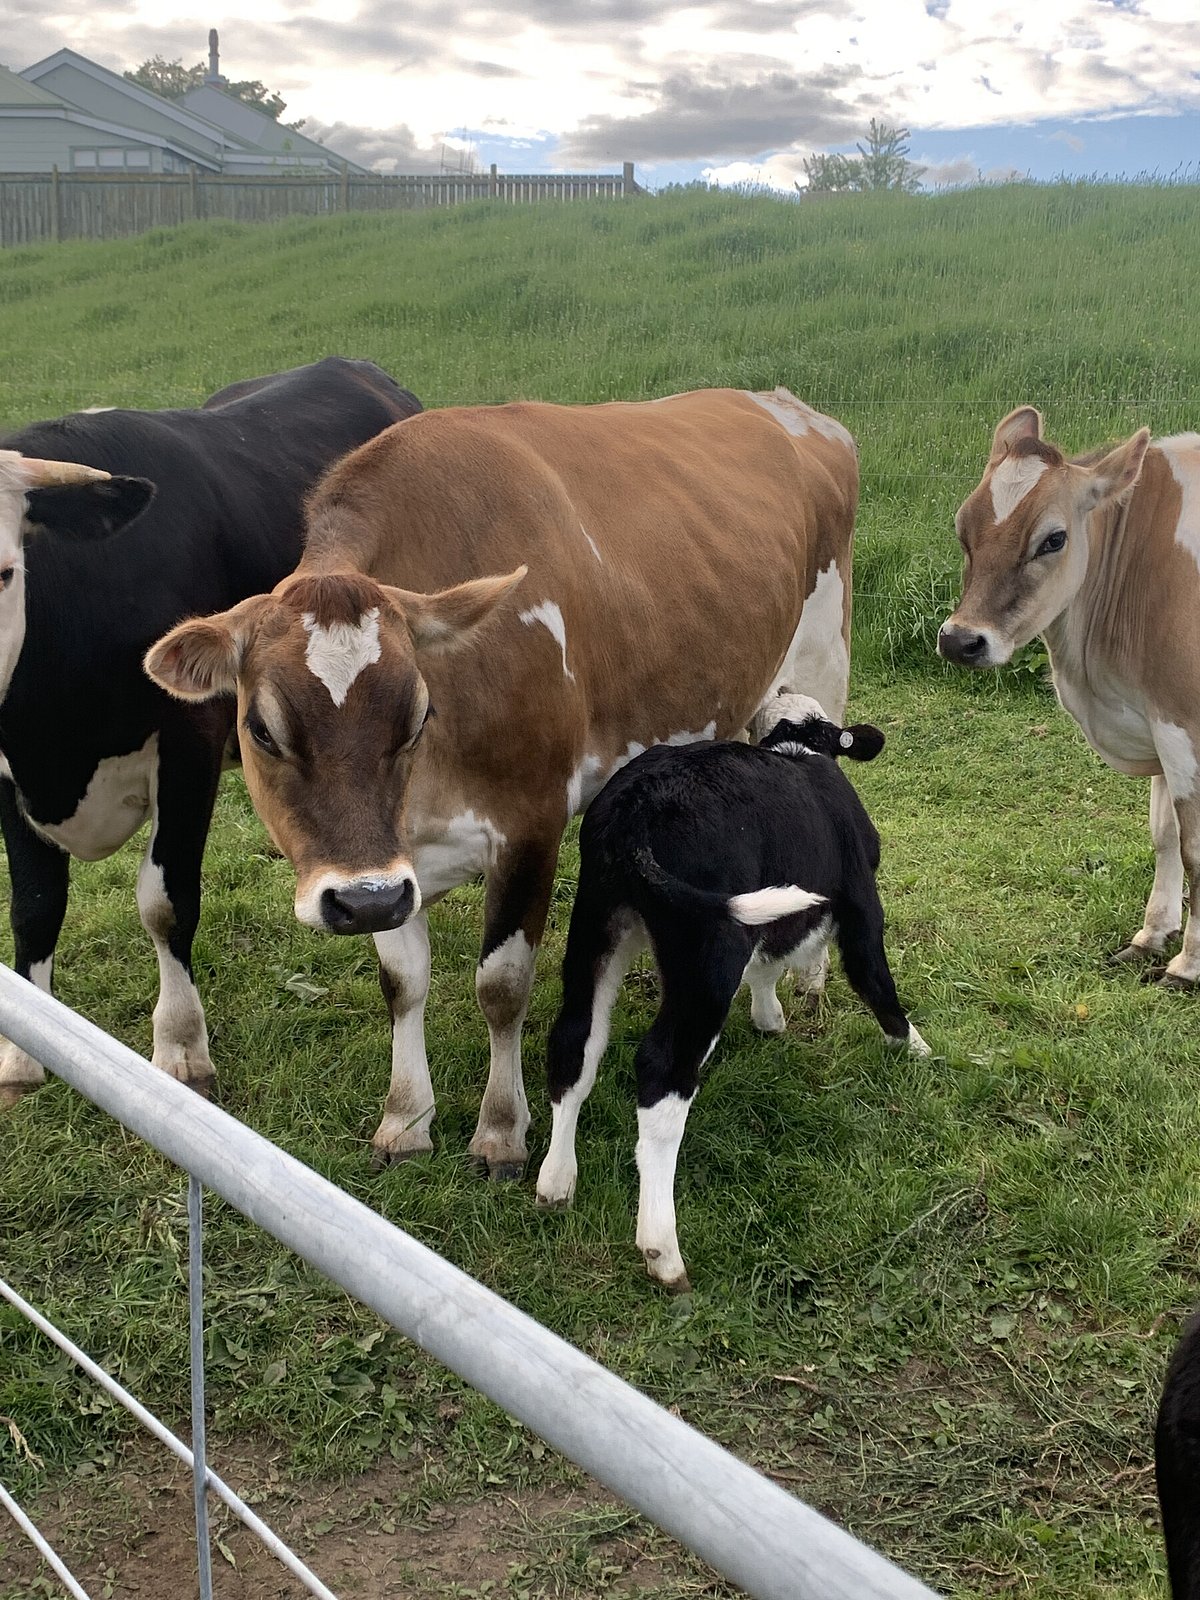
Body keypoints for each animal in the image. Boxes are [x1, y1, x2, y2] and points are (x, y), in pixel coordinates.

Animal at [0, 358, 421, 1107]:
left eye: (3, 572)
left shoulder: (188, 743)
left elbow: (166, 903)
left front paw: (180, 1048)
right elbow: (35, 905)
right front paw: (28, 1052)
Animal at [144, 386, 860, 1178]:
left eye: (418, 713)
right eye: (263, 729)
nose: (362, 900)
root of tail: (781, 403)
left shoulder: (530, 825)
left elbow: (502, 986)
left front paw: (501, 1131)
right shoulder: (396, 863)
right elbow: (403, 983)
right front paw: (406, 1117)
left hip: (824, 665)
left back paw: (808, 975)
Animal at [534, 691, 929, 1291]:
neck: (798, 748)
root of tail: (636, 812)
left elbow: (770, 961)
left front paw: (770, 1018)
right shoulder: (860, 898)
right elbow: (874, 977)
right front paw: (916, 1048)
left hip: (597, 924)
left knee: (575, 1041)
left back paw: (556, 1181)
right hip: (707, 954)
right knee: (663, 1071)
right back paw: (662, 1250)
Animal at [937, 408, 1200, 986]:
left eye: (1053, 540)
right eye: (962, 528)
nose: (961, 640)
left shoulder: (1183, 722)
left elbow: (1195, 847)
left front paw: (1189, 965)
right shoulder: (1158, 719)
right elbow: (1165, 833)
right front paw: (1152, 935)